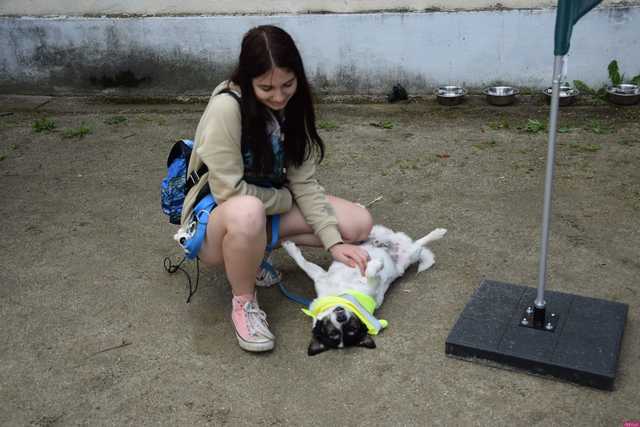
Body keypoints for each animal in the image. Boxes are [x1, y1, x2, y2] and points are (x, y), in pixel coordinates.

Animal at [282, 226, 448, 356]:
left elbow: (303, 263)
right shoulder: (369, 284)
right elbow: (370, 272)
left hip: (380, 234)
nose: (341, 317)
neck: (341, 295)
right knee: (418, 245)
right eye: (333, 333)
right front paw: (376, 264)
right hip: (410, 254)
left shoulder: (320, 276)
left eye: (352, 328)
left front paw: (289, 247)